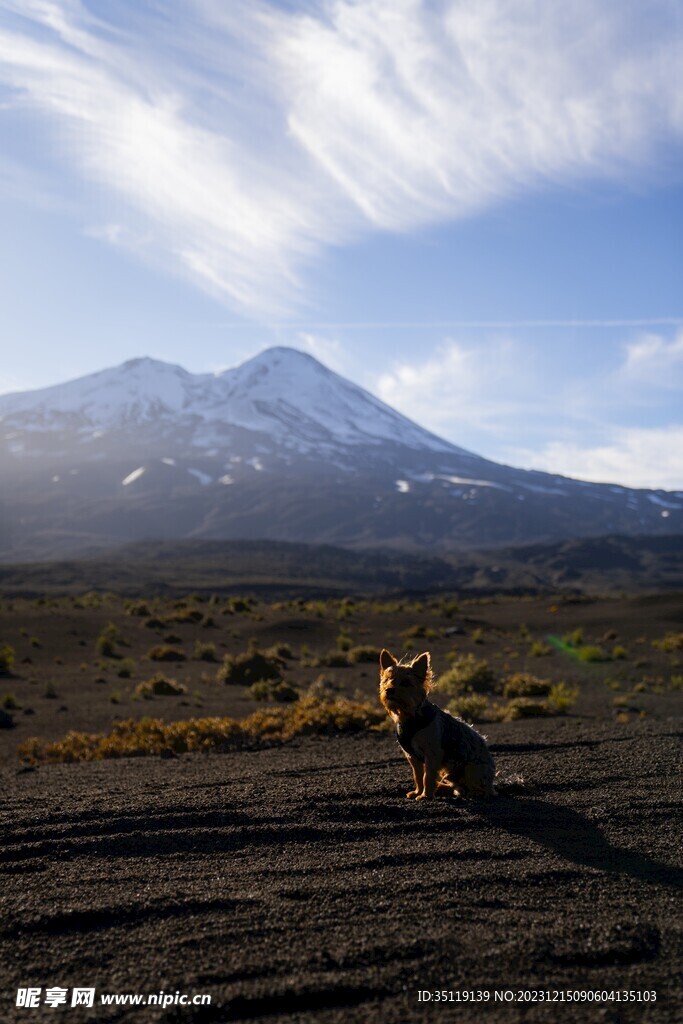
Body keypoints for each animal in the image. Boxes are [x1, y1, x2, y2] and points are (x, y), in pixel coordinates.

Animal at [378, 647, 497, 798]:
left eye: (405, 682)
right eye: (387, 680)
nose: (389, 690)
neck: (411, 716)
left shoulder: (432, 754)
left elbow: (427, 776)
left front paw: (425, 795)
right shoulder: (412, 757)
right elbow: (418, 776)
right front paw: (417, 792)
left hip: (472, 770)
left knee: (483, 790)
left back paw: (475, 792)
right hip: (451, 774)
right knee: (458, 787)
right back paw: (443, 787)